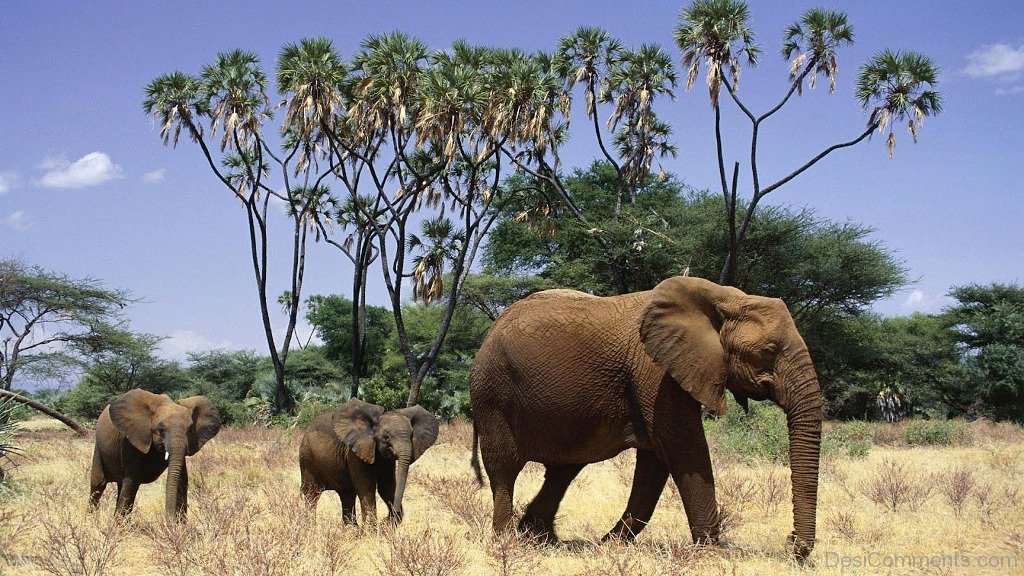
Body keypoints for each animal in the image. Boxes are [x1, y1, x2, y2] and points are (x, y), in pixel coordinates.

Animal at [89, 387, 222, 518]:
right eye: (161, 430)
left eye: (190, 430)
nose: (168, 519)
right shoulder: (131, 440)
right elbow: (132, 480)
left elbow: (182, 480)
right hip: (99, 448)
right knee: (99, 484)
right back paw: (91, 518)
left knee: (121, 485)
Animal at [299, 399, 438, 524]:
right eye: (386, 437)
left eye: (411, 435)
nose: (385, 519)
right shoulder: (355, 452)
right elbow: (367, 487)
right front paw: (372, 530)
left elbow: (387, 487)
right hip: (307, 459)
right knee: (312, 494)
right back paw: (310, 527)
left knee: (347, 495)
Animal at [471, 276, 823, 557]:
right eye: (769, 351)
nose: (793, 545)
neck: (724, 298)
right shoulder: (656, 370)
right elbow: (683, 447)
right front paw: (713, 554)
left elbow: (655, 462)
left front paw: (609, 546)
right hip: (493, 394)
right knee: (504, 467)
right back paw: (508, 542)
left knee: (564, 469)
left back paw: (541, 539)